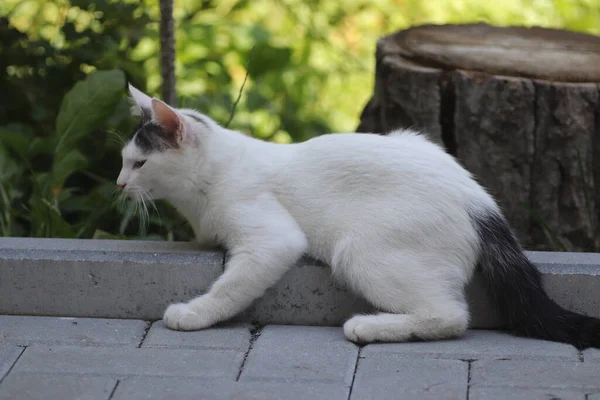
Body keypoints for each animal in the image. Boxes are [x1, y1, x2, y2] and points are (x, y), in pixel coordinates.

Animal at [118, 83, 600, 346]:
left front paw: (193, 314)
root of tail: (481, 201)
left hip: (357, 251)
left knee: (451, 317)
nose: (120, 184)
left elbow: (229, 287)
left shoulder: (273, 241)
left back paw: (369, 327)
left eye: (139, 164)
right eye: (124, 161)